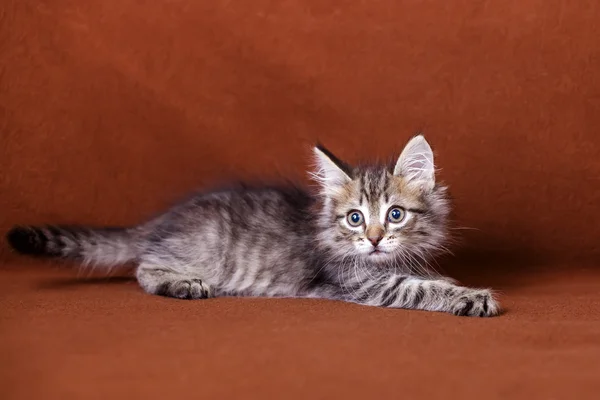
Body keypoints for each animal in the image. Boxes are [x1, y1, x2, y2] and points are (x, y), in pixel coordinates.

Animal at [7, 136, 500, 318]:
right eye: (355, 218)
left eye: (395, 214)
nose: (375, 239)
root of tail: (165, 219)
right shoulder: (357, 282)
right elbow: (416, 288)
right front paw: (471, 297)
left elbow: (425, 276)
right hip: (203, 250)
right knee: (144, 267)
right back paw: (183, 284)